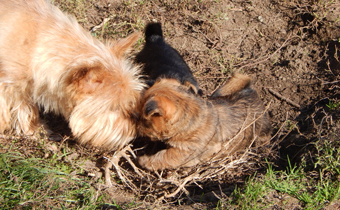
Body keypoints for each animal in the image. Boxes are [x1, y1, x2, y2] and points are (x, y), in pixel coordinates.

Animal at [137, 74, 270, 171]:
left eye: (143, 120)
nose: (137, 130)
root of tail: (251, 90)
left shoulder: (186, 152)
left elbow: (166, 156)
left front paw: (144, 161)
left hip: (262, 132)